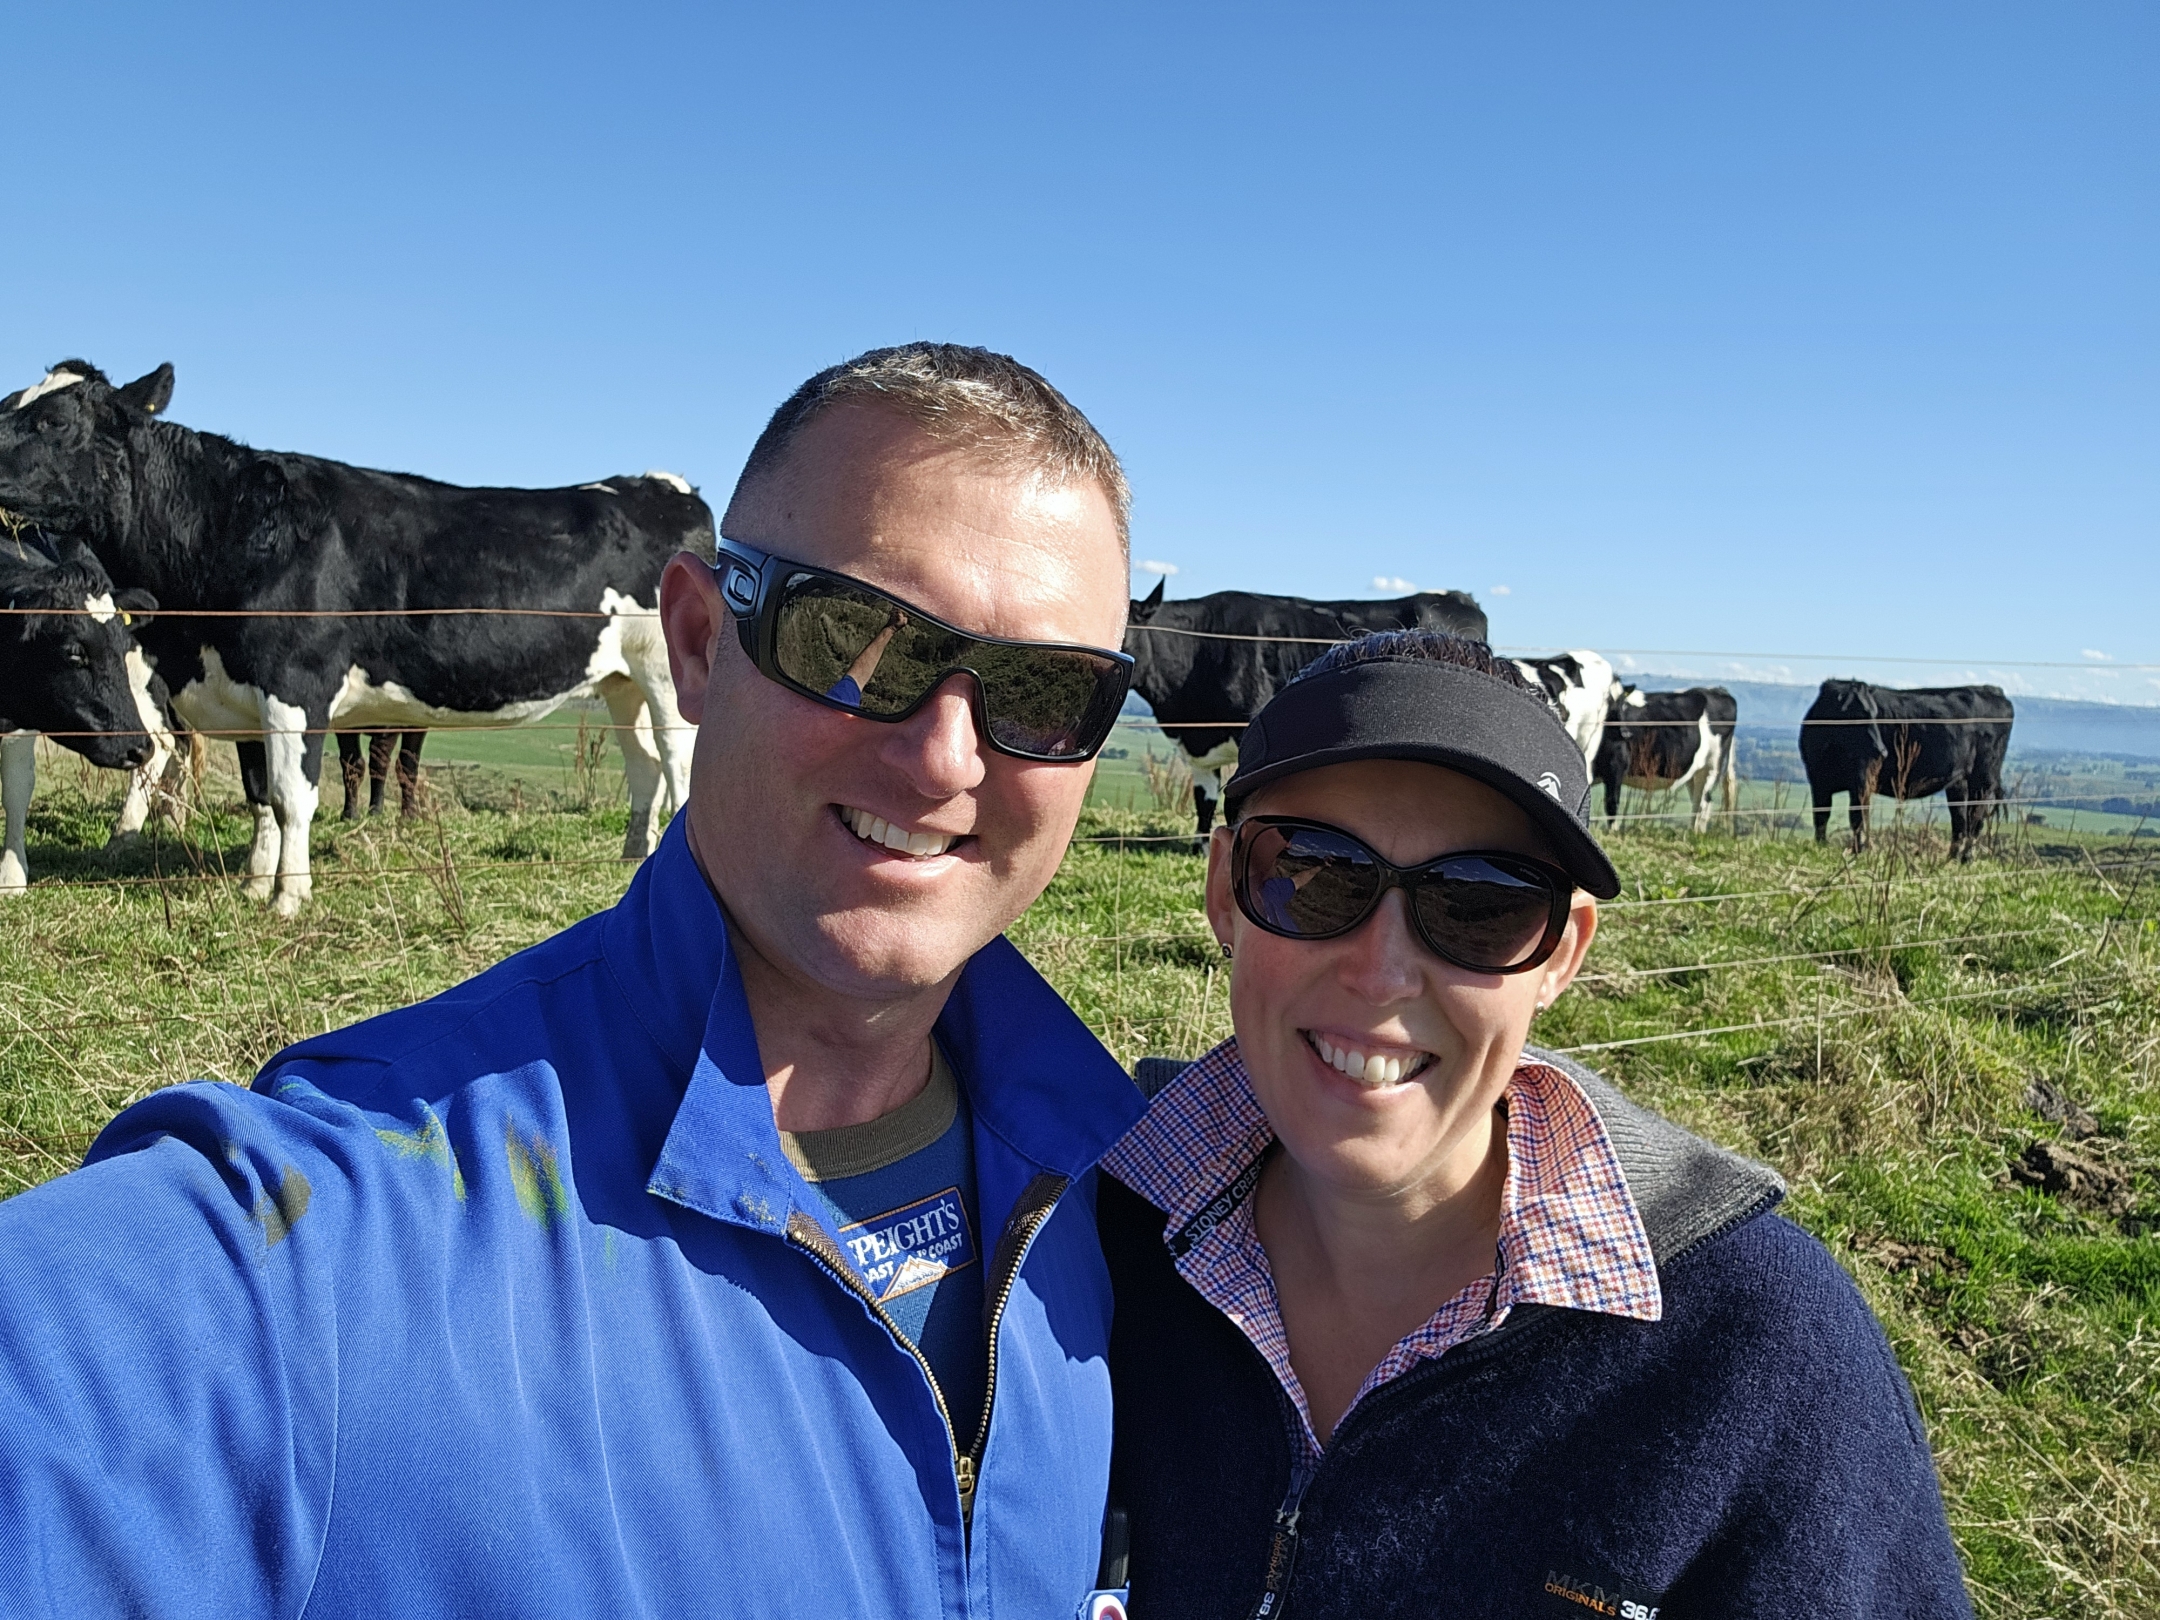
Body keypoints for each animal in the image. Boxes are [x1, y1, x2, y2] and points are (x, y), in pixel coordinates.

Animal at [1598, 686, 1745, 838]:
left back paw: (1696, 835)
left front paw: (1612, 833)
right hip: (1694, 772)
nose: (1625, 733)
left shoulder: (1616, 766)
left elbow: (1611, 803)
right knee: (1697, 801)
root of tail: (1716, 689)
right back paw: (1691, 832)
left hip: (1712, 766)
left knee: (1704, 803)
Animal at [1797, 682, 2013, 864]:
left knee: (1976, 819)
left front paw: (1860, 851)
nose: (1881, 751)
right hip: (1960, 781)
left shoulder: (1862, 779)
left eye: (1875, 713)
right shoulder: (1818, 781)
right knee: (1960, 819)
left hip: (1983, 778)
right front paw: (1821, 847)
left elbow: (1858, 816)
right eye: (1857, 715)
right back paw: (1951, 859)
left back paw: (1966, 859)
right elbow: (1821, 816)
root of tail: (1991, 689)